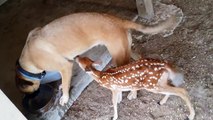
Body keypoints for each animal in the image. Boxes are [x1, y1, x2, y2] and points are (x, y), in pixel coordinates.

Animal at [16, 12, 176, 105]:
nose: (32, 96)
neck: (28, 56)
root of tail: (118, 20)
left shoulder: (65, 66)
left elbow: (66, 85)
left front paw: (64, 98)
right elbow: (64, 82)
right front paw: (61, 86)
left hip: (118, 56)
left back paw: (132, 94)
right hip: (125, 50)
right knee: (138, 58)